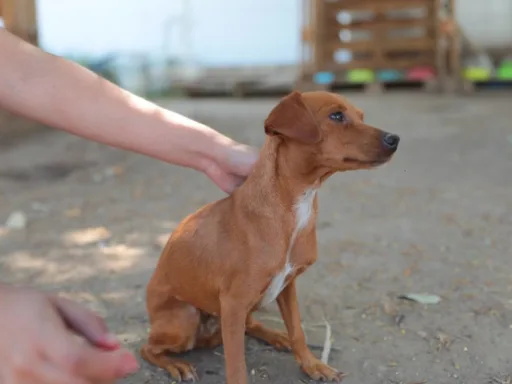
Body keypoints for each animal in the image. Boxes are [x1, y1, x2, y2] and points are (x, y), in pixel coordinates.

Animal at [140, 91, 400, 382]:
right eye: (336, 115)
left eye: (361, 116)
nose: (394, 139)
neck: (295, 208)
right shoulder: (233, 303)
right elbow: (237, 366)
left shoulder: (286, 285)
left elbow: (298, 331)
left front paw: (312, 364)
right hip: (185, 319)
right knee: (147, 347)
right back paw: (176, 365)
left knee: (250, 324)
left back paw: (275, 335)